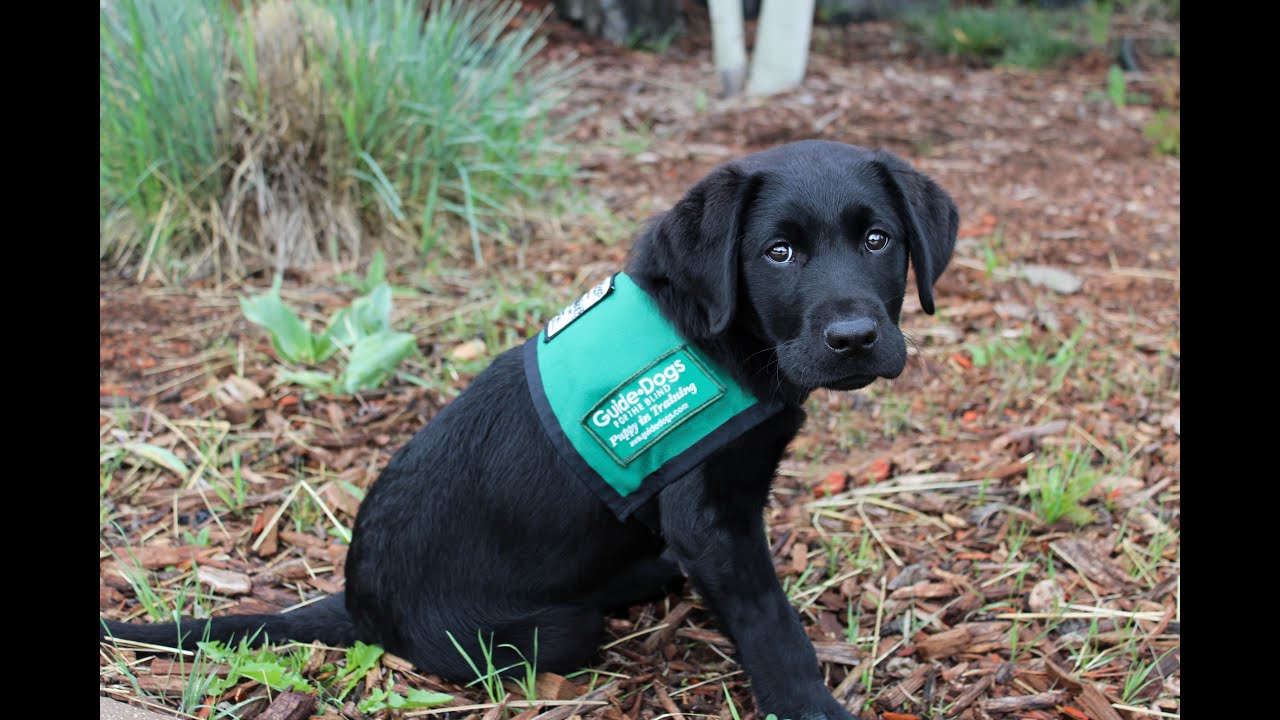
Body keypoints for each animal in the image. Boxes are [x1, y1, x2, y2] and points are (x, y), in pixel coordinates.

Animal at [104, 139, 957, 712]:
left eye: (877, 239)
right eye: (778, 253)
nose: (854, 336)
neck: (722, 335)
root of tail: (359, 603)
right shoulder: (711, 522)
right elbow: (773, 627)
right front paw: (808, 705)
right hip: (552, 629)